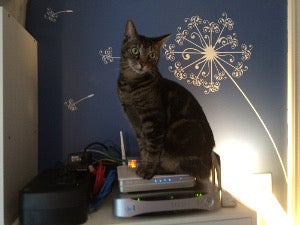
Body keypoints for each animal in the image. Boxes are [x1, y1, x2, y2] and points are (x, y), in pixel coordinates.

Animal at [118, 20, 216, 180]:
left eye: (152, 55)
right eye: (135, 50)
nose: (143, 64)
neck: (131, 85)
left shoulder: (153, 121)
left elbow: (152, 151)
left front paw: (148, 171)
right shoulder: (135, 123)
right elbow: (143, 149)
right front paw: (143, 166)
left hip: (181, 128)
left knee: (182, 169)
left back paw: (160, 170)